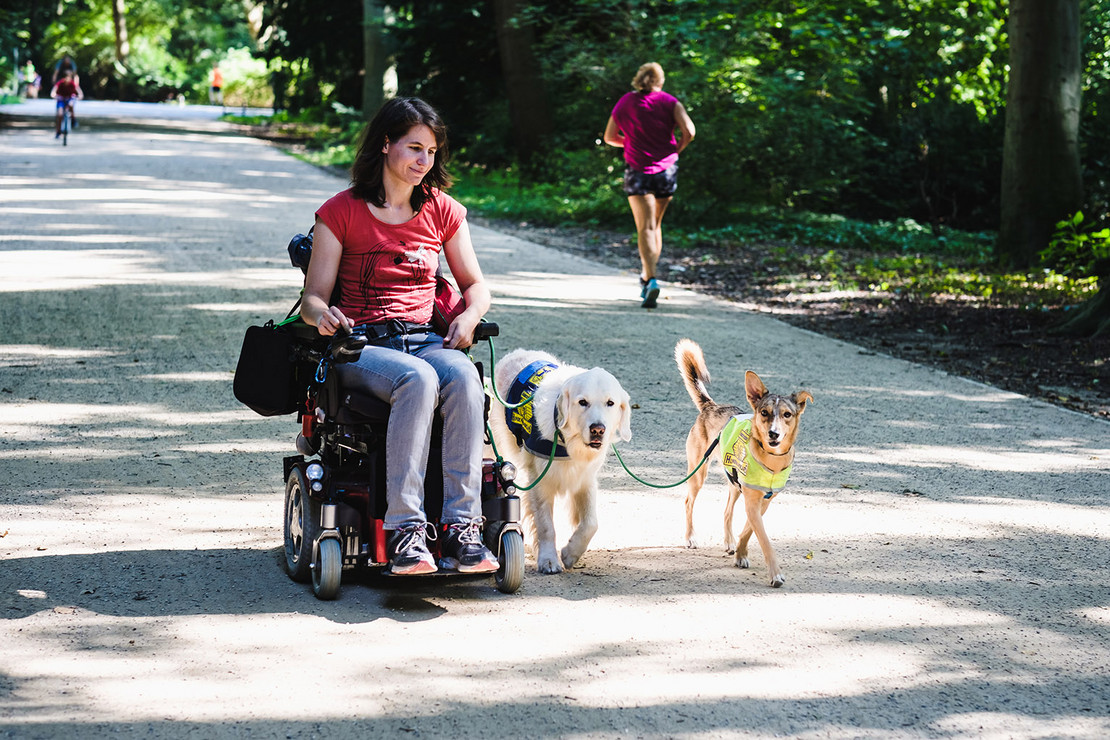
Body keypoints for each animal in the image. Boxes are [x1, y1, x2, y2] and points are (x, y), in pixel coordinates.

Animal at [670, 339, 812, 585]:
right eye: (764, 412)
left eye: (787, 414)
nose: (773, 434)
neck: (772, 460)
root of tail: (711, 406)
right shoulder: (752, 501)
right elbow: (763, 538)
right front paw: (774, 572)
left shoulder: (763, 501)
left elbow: (749, 529)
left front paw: (740, 553)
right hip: (699, 473)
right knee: (689, 502)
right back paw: (690, 538)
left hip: (734, 484)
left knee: (727, 511)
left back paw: (729, 542)